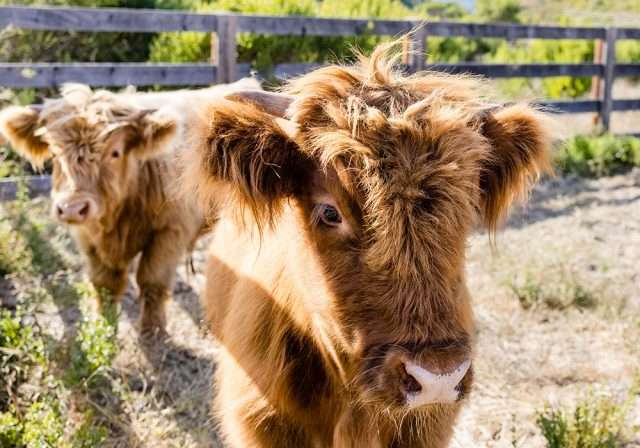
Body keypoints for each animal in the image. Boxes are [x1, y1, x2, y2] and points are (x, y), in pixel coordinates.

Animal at [0, 78, 261, 335]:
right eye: (55, 154)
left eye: (115, 153)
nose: (73, 208)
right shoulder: (88, 238)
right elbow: (104, 284)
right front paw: (104, 325)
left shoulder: (170, 232)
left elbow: (152, 279)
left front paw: (151, 329)